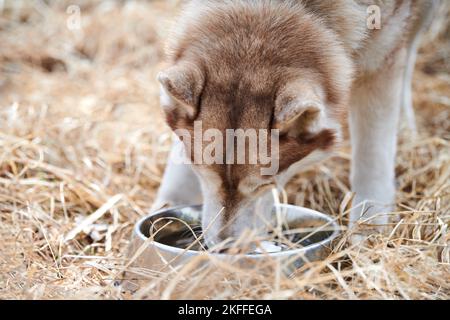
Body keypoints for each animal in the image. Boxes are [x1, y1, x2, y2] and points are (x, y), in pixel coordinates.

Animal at [153, 0, 438, 245]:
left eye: (264, 185)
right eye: (202, 172)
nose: (224, 246)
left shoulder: (382, 56)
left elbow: (372, 158)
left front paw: (369, 228)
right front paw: (167, 206)